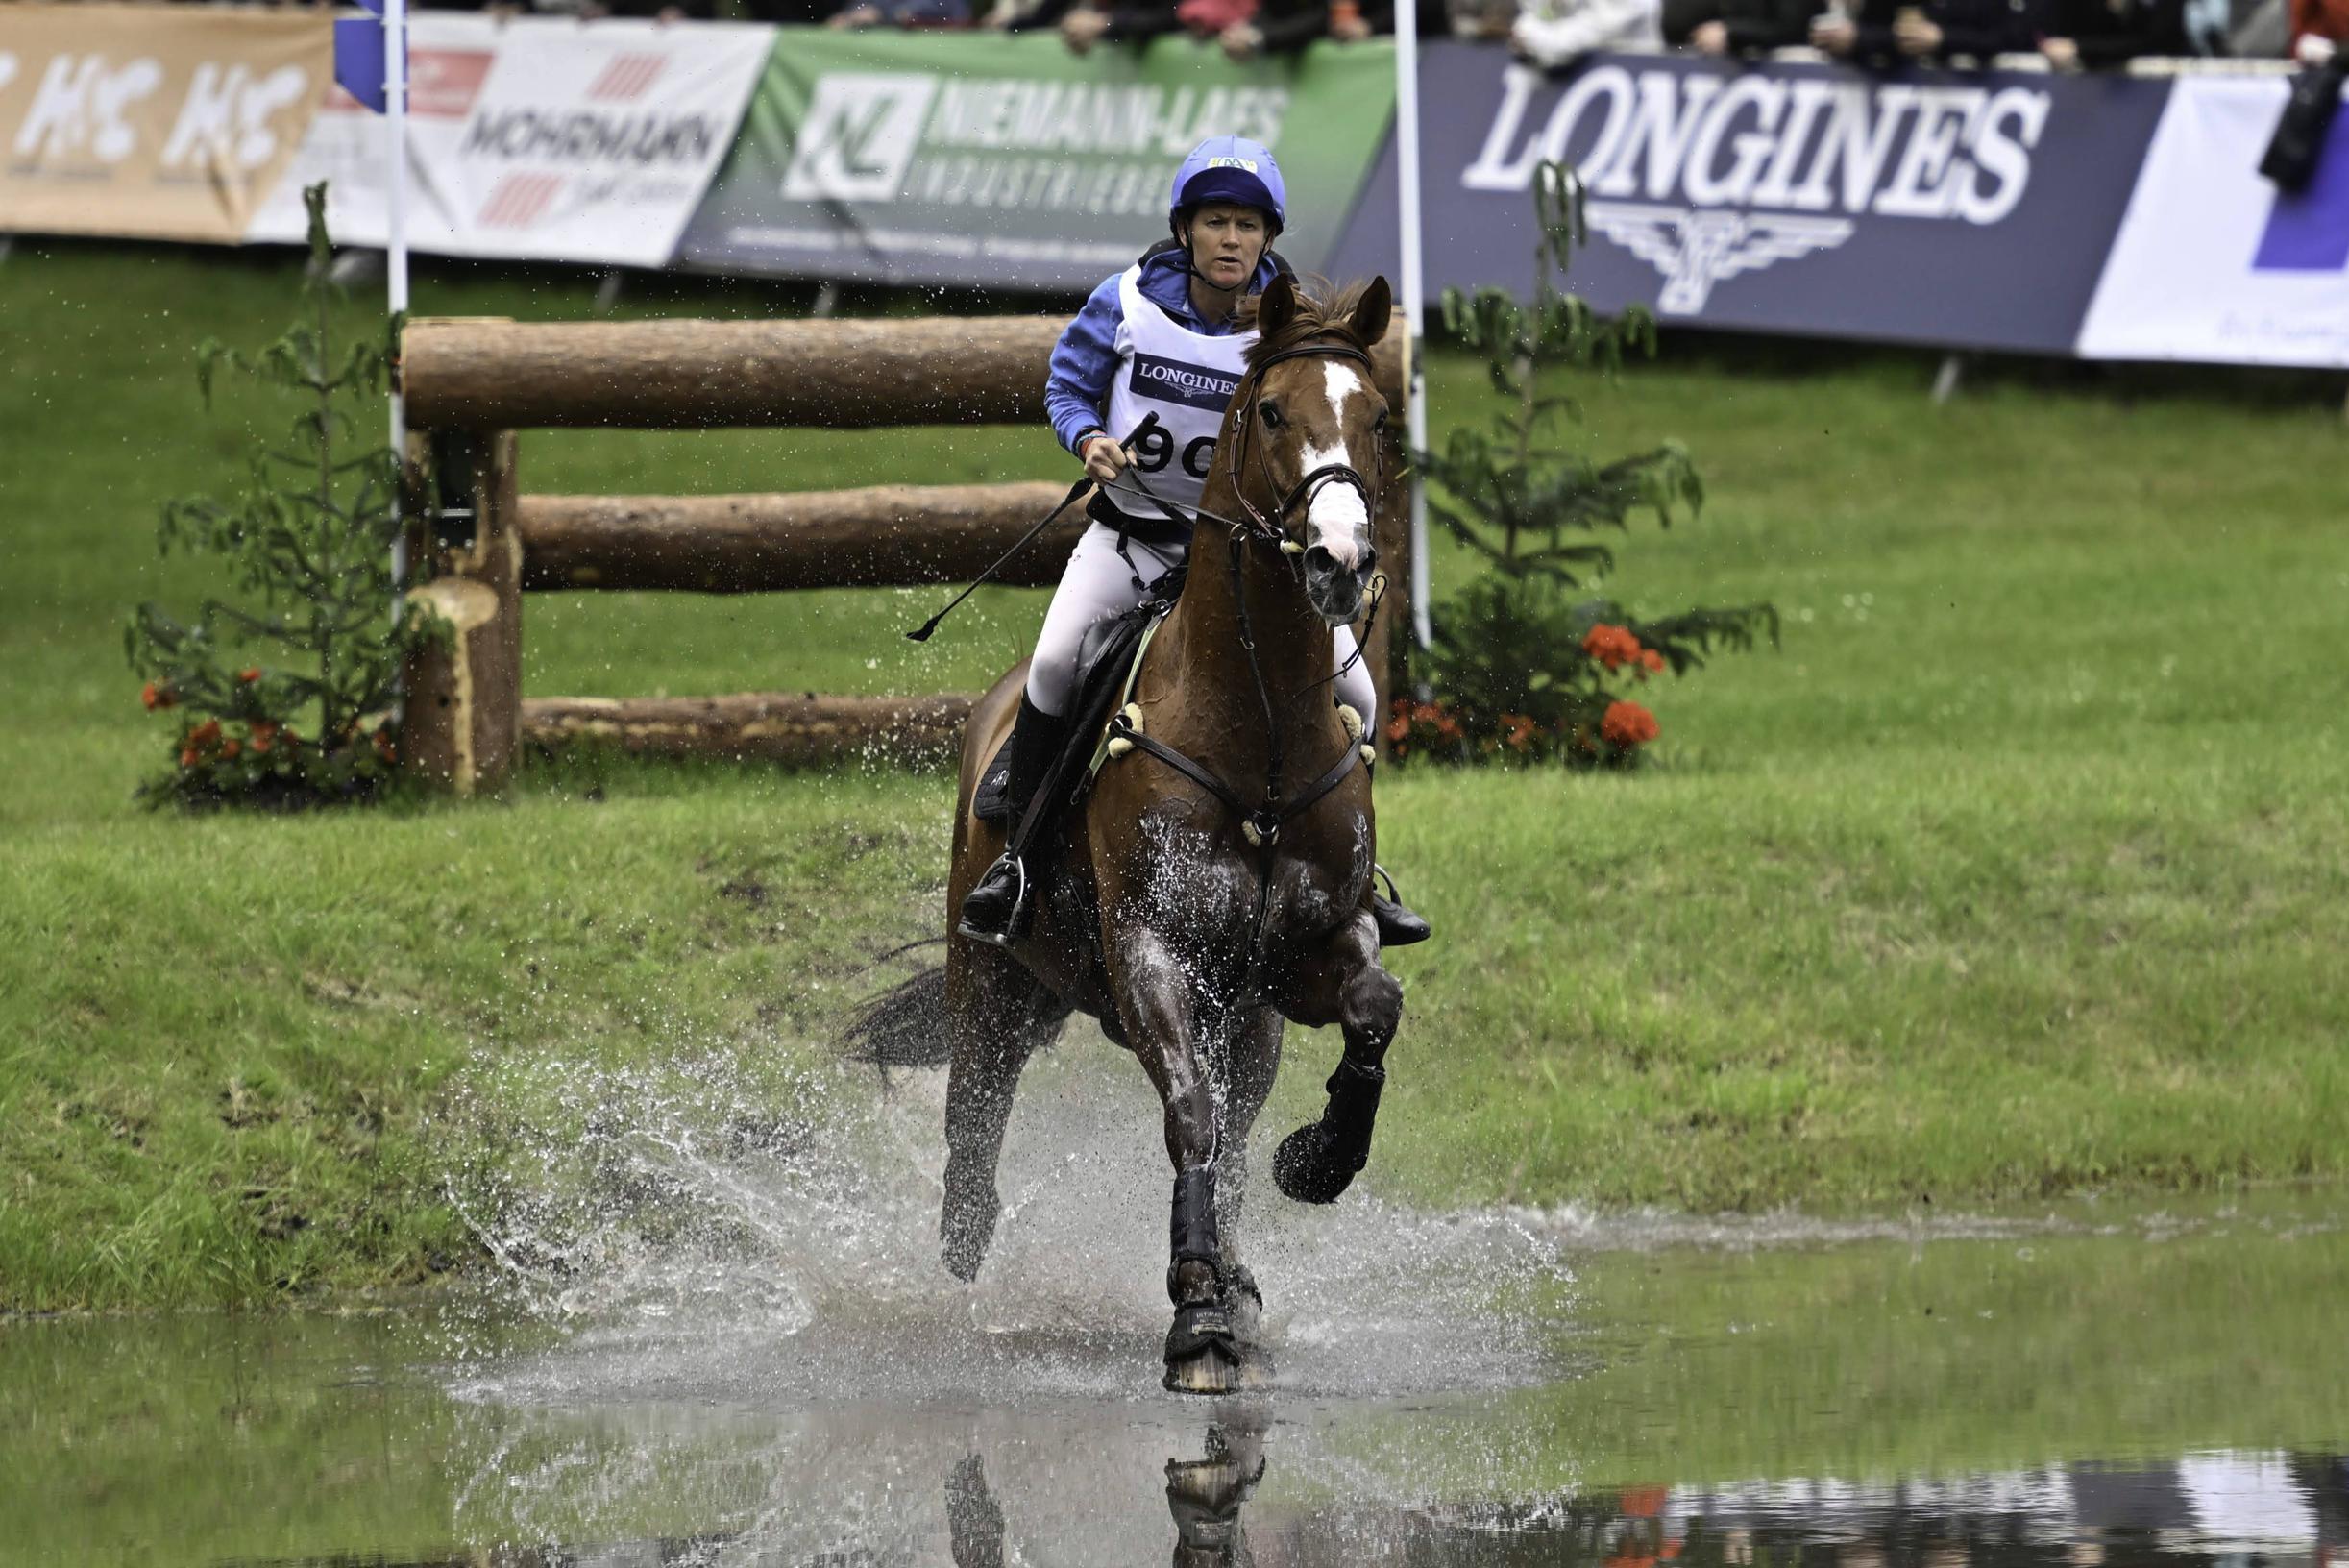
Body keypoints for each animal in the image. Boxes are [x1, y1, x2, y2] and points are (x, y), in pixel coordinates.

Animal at [864, 276, 1409, 1391]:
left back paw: (1241, 1264)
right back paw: (965, 1264)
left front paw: (1319, 1162)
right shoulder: (1153, 951)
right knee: (975, 1133)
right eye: (1273, 412)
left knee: (1234, 1132)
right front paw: (1195, 1314)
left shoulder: (1304, 954)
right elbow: (1188, 1113)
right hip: (994, 986)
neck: (1258, 736)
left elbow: (1372, 1008)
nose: (1340, 560)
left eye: (1378, 417)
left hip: (1246, 1022)